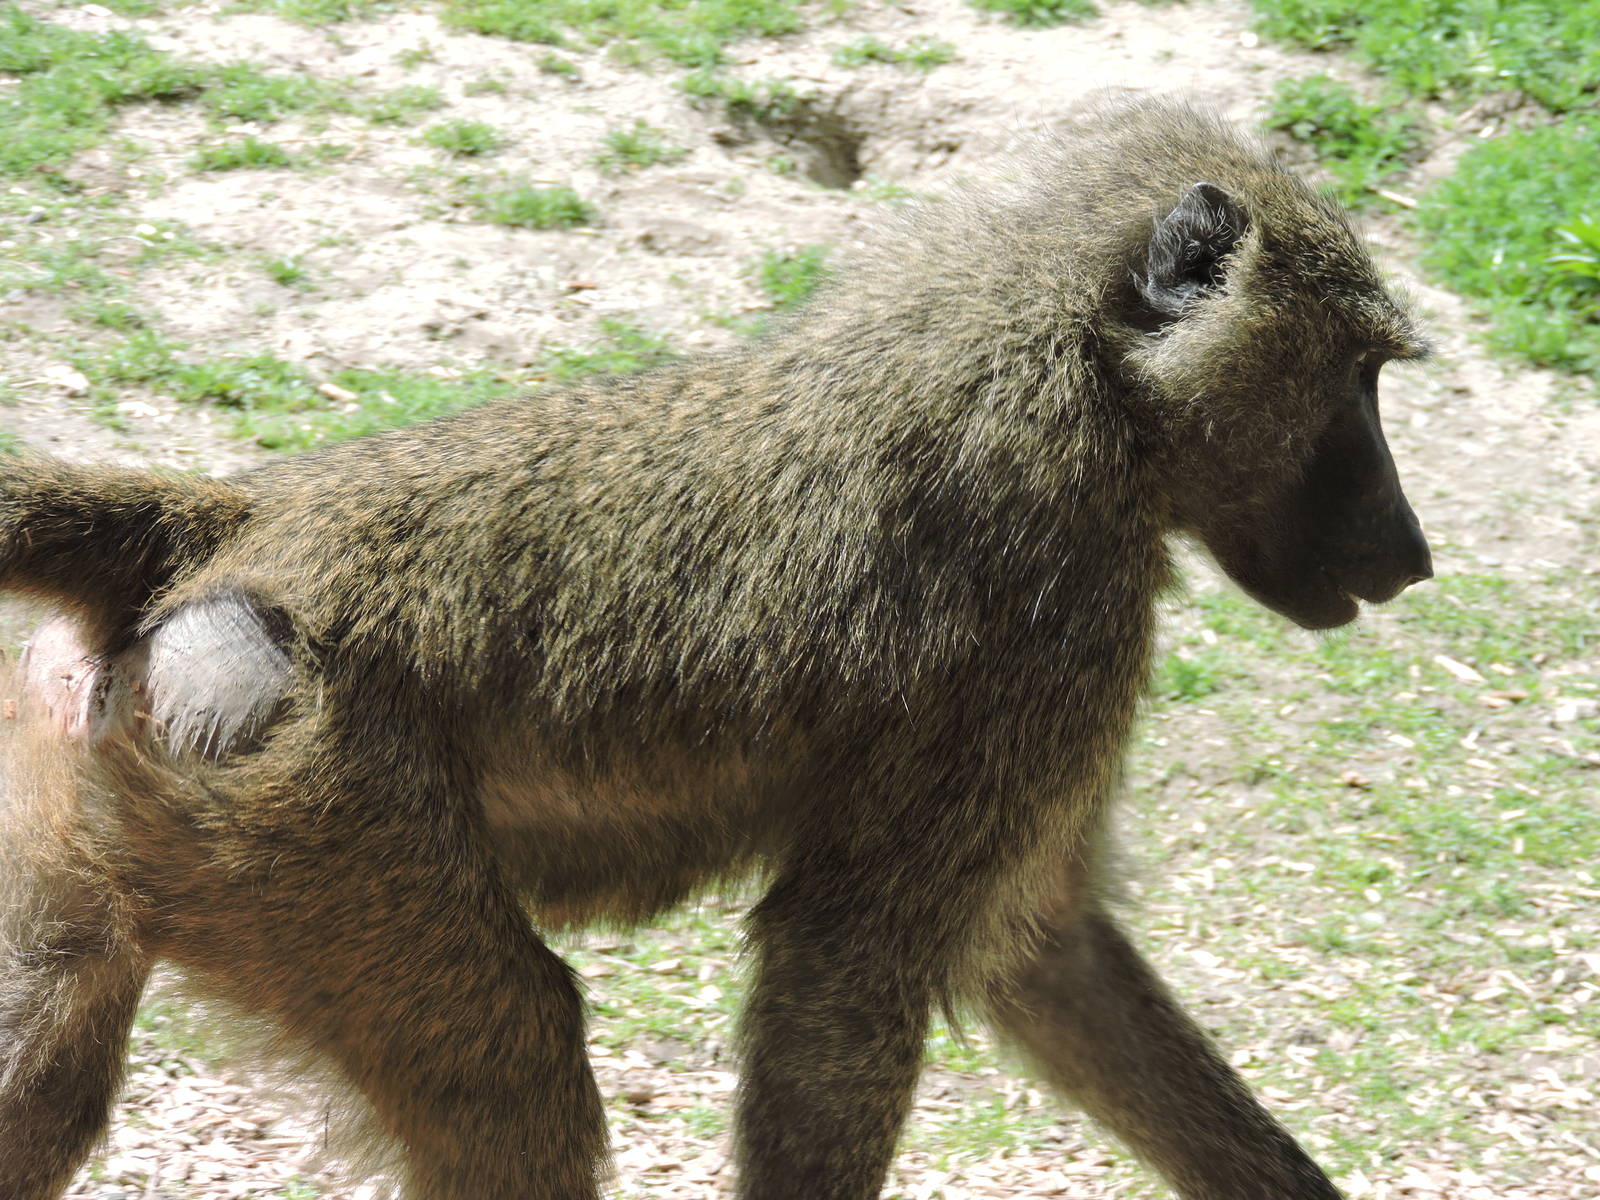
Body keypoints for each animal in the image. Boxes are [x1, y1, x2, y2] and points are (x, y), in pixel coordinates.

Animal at [0, 96, 1432, 1200]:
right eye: (1356, 379)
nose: (1412, 553)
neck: (1088, 368)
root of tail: (236, 527)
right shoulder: (1050, 614)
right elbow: (844, 966)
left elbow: (1045, 949)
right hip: (310, 795)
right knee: (517, 1059)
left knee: (49, 1057)